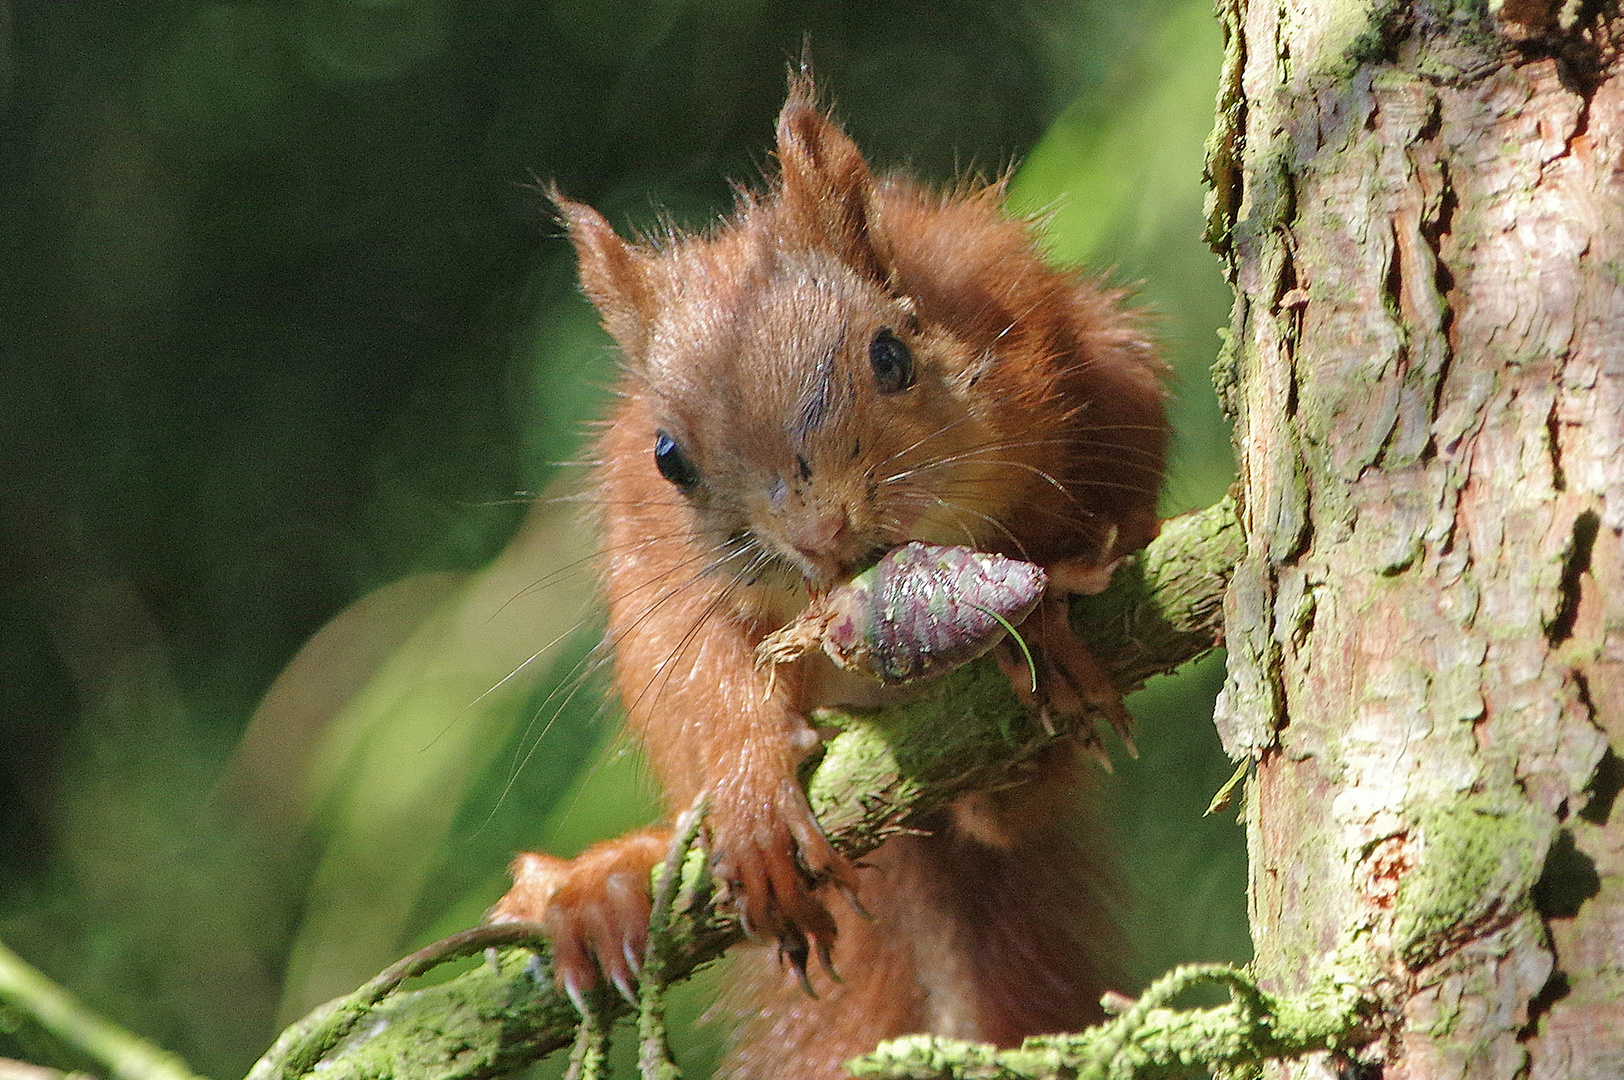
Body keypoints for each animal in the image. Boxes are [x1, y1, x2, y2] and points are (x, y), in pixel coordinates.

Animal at [490, 77, 1169, 1078]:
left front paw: (1039, 614)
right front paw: (747, 784)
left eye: (892, 357)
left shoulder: (1072, 356)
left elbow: (1088, 504)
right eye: (667, 455)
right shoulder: (649, 563)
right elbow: (694, 680)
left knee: (1011, 815)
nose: (821, 533)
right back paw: (602, 888)